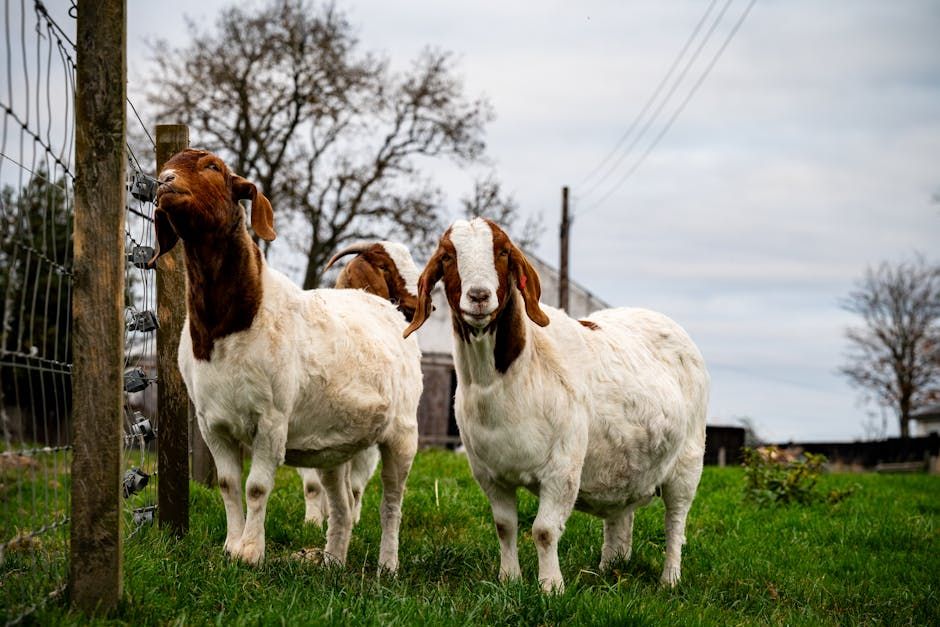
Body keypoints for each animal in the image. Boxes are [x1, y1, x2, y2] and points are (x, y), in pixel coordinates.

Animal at [298, 241, 421, 526]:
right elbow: (313, 484)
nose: (421, 305)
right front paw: (312, 522)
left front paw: (350, 519)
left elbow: (354, 486)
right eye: (384, 266)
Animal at [403, 218, 708, 591]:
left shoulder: (562, 467)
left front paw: (551, 586)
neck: (512, 375)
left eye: (503, 252)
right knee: (621, 518)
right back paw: (609, 570)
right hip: (627, 466)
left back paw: (669, 579)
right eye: (447, 256)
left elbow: (544, 531)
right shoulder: (489, 473)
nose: (478, 296)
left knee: (675, 522)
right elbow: (505, 526)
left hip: (688, 461)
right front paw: (509, 579)